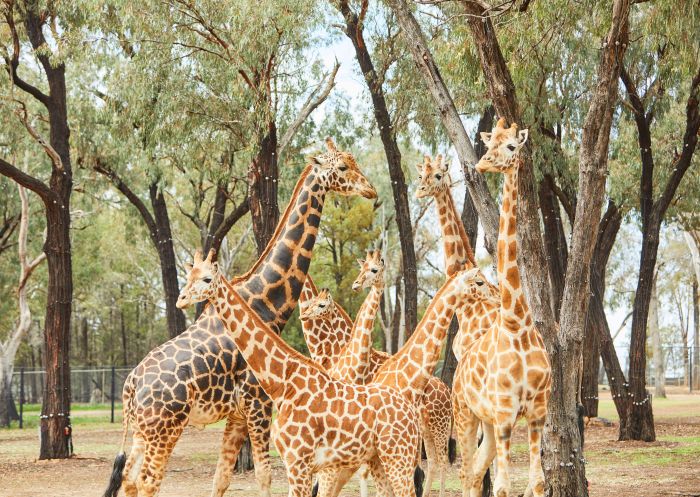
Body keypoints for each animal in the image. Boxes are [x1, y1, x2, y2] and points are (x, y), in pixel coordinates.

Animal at [102, 138, 377, 497]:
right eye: (343, 167)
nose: (371, 190)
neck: (266, 303)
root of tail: (131, 386)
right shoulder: (258, 403)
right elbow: (263, 475)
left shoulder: (236, 413)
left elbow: (221, 478)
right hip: (165, 427)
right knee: (147, 481)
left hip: (142, 430)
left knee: (129, 479)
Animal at [177, 248, 423, 497]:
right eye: (189, 276)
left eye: (207, 279)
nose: (182, 299)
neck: (281, 383)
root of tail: (410, 412)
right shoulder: (293, 463)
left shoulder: (300, 462)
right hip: (379, 458)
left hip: (398, 456)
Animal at [300, 257, 456, 497]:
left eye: (320, 305)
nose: (303, 314)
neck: (334, 351)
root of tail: (446, 391)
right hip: (426, 428)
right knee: (433, 462)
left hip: (439, 425)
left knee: (443, 461)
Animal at [452, 118, 551, 497]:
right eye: (488, 142)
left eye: (511, 146)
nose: (481, 165)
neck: (515, 323)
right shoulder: (506, 413)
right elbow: (504, 487)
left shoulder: (538, 412)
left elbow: (537, 483)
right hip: (466, 415)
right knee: (467, 474)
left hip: (489, 424)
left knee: (476, 473)